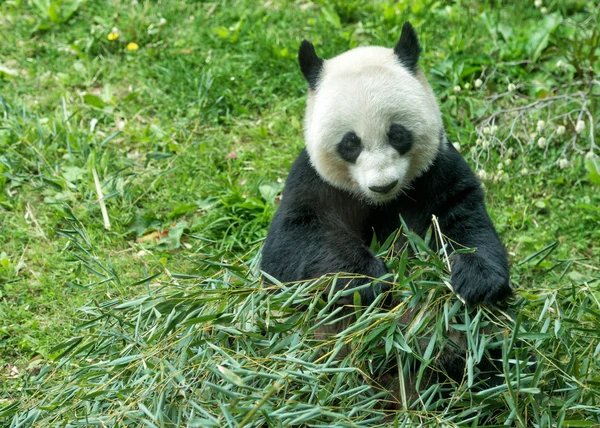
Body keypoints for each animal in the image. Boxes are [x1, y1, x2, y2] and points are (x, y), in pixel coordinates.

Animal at [258, 21, 510, 404]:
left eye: (398, 134)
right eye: (350, 143)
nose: (382, 184)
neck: (380, 203)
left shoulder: (436, 171)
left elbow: (461, 220)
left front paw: (473, 280)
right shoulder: (313, 181)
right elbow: (291, 246)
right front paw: (371, 279)